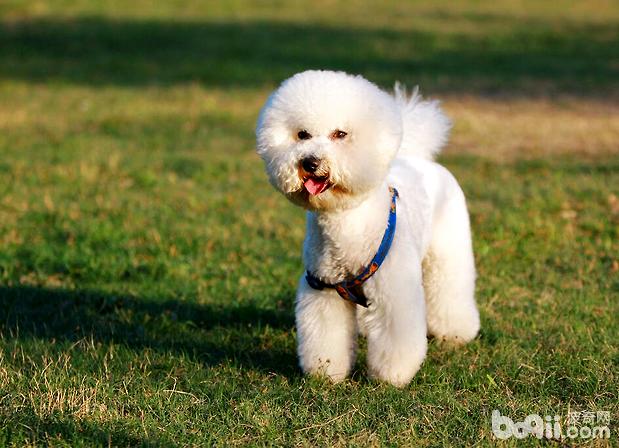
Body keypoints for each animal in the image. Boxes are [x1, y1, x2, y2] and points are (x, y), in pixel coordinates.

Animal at [254, 72, 482, 386]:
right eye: (302, 135)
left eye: (340, 134)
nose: (310, 162)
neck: (345, 221)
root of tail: (419, 158)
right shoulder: (323, 290)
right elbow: (326, 337)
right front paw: (326, 373)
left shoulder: (396, 291)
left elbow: (396, 338)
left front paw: (391, 376)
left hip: (448, 252)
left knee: (450, 289)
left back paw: (456, 333)